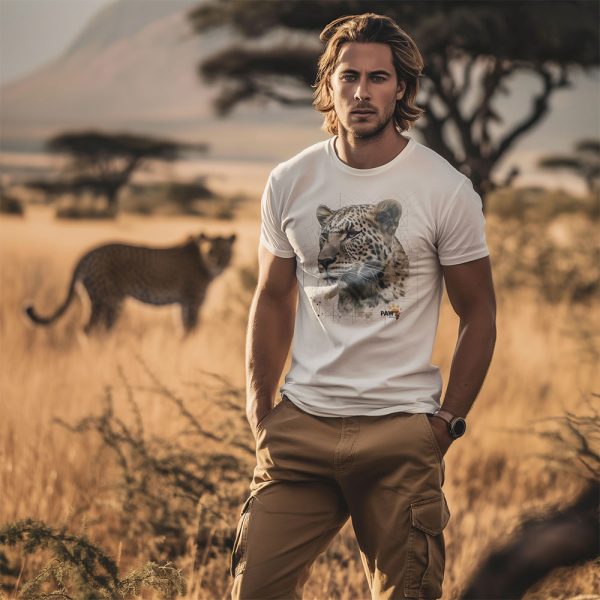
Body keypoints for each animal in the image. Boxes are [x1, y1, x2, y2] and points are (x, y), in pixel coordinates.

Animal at [25, 233, 237, 336]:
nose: (220, 263)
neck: (201, 261)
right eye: (211, 251)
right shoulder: (192, 303)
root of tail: (90, 250)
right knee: (90, 328)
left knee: (96, 328)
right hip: (108, 300)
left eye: (226, 252)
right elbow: (191, 329)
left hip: (99, 299)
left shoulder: (183, 304)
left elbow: (182, 329)